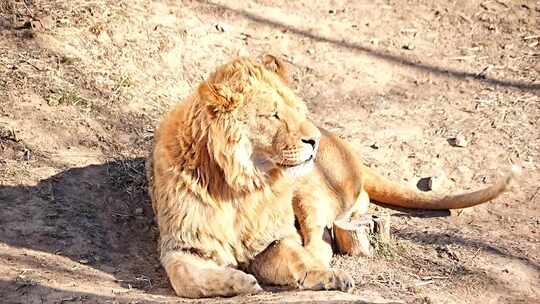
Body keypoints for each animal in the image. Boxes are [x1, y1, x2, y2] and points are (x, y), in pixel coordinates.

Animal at [146, 54, 516, 296]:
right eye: (273, 115)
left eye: (298, 110)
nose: (313, 139)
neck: (239, 185)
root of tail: (343, 144)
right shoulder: (182, 245)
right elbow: (184, 278)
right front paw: (237, 282)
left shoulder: (277, 236)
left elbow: (295, 256)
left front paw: (325, 276)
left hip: (310, 190)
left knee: (322, 235)